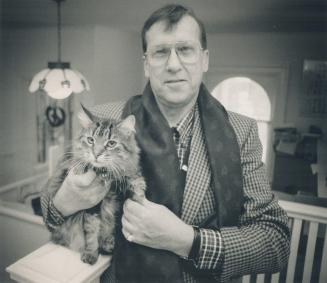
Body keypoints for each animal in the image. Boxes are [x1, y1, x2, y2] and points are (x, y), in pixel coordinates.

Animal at [42, 105, 146, 266]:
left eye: (111, 143)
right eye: (91, 140)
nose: (96, 154)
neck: (104, 174)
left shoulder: (121, 187)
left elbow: (134, 185)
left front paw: (139, 196)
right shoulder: (91, 208)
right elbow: (91, 232)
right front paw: (91, 254)